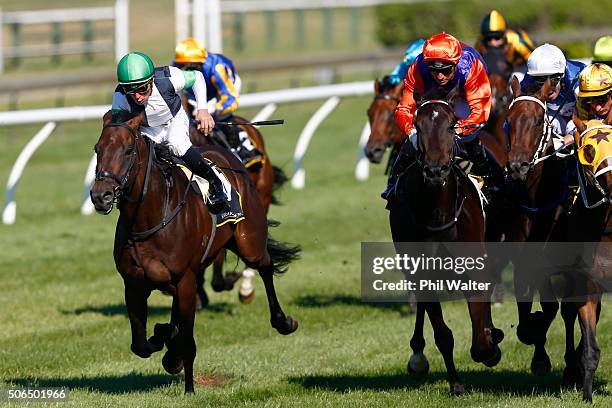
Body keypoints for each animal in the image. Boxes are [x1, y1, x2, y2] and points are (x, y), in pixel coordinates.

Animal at [90, 110, 298, 394]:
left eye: (128, 150)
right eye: (97, 149)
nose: (100, 196)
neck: (150, 217)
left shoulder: (184, 280)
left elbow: (187, 341)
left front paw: (189, 387)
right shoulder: (133, 284)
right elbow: (141, 345)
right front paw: (166, 342)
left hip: (250, 241)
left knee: (265, 266)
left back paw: (281, 320)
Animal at [390, 86, 504, 396]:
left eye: (452, 125)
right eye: (417, 126)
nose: (435, 171)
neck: (438, 211)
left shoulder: (473, 263)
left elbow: (479, 333)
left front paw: (490, 345)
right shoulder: (421, 270)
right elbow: (443, 334)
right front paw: (455, 384)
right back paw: (417, 355)